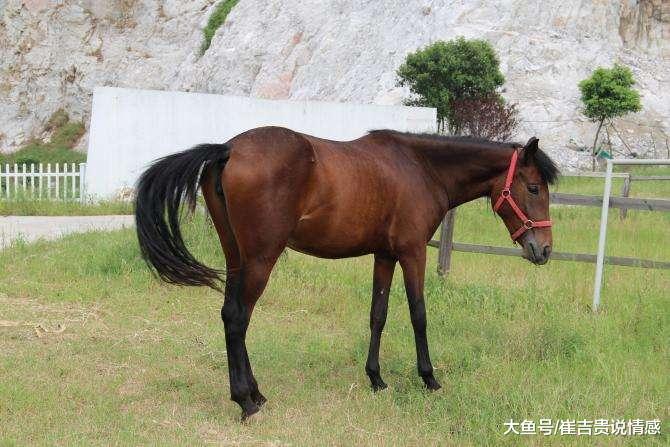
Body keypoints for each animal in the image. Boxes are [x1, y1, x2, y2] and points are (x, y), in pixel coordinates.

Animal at [134, 126, 558, 420]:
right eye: (534, 188)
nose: (544, 249)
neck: (421, 168)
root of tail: (228, 149)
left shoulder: (384, 256)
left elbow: (378, 315)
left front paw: (376, 378)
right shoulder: (412, 253)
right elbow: (418, 315)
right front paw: (429, 378)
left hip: (236, 256)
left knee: (229, 315)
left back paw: (255, 393)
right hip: (260, 259)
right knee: (239, 318)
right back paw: (246, 401)